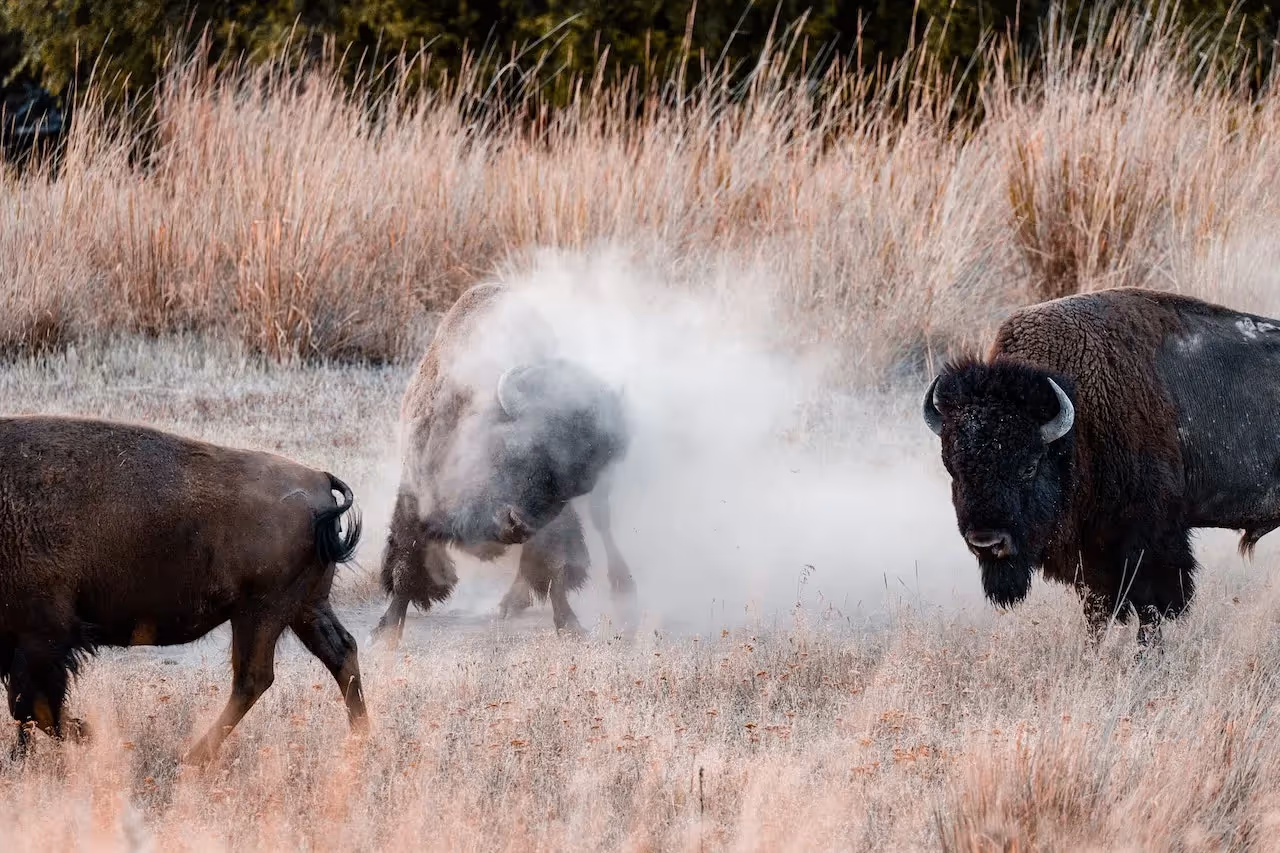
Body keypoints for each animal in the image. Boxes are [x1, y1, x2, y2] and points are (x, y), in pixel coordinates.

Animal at [0, 415, 366, 762]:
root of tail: (319, 479)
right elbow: (26, 708)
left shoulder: (43, 636)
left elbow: (31, 707)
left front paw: (91, 736)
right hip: (304, 607)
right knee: (339, 651)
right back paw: (361, 736)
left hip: (261, 612)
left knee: (254, 677)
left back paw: (192, 757)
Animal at [372, 282, 634, 643]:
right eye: (522, 448)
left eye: (574, 485)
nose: (518, 524)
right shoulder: (415, 492)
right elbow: (406, 563)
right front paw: (384, 632)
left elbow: (554, 566)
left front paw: (570, 625)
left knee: (601, 525)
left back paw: (620, 583)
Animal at [923, 287, 1280, 647]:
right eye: (953, 469)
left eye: (1030, 466)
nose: (987, 543)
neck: (1079, 416)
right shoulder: (1091, 555)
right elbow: (1099, 610)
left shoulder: (1148, 541)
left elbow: (1151, 608)